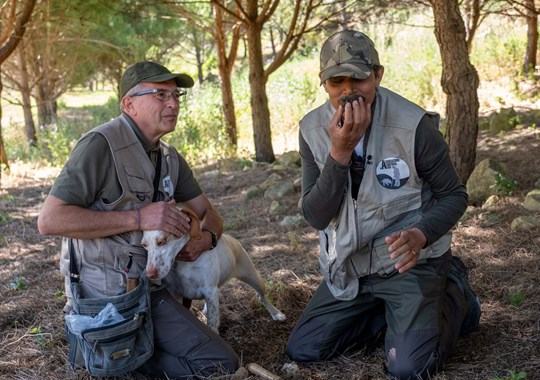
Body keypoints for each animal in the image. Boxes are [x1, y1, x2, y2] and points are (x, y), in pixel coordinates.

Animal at [142, 208, 286, 332]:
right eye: (144, 245)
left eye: (162, 241)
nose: (150, 274)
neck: (182, 263)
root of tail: (232, 239)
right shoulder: (176, 294)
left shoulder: (210, 290)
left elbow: (212, 324)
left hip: (255, 279)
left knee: (261, 297)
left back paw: (276, 313)